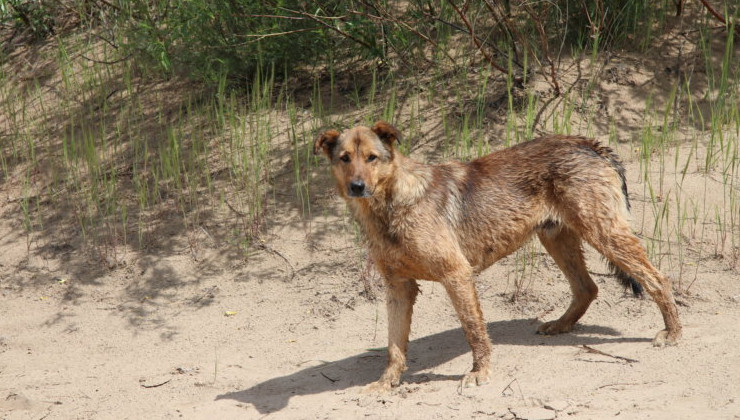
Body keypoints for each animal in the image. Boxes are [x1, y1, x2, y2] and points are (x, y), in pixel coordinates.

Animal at [312, 120, 684, 390]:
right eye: (345, 158)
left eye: (371, 158)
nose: (357, 187)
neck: (389, 207)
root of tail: (590, 144)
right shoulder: (399, 288)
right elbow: (394, 346)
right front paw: (386, 383)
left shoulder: (456, 275)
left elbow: (474, 332)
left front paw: (480, 372)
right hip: (557, 238)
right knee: (587, 288)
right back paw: (560, 325)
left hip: (603, 234)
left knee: (658, 279)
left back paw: (673, 334)